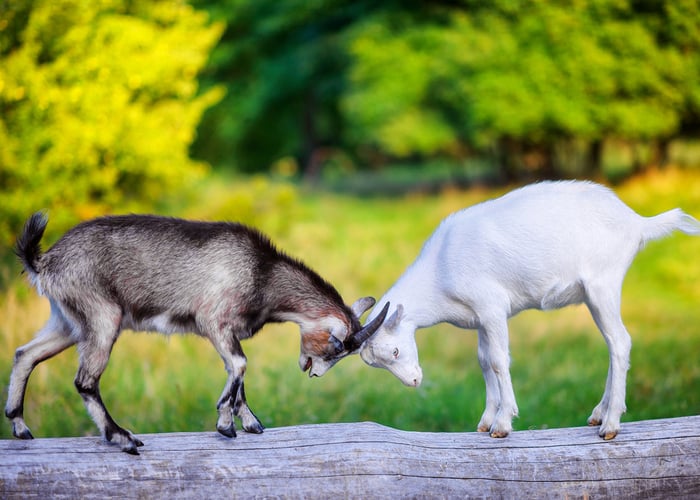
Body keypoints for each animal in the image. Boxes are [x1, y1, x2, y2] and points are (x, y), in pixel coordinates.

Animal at [6, 213, 388, 456]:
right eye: (336, 346)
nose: (314, 372)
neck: (262, 274)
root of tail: (46, 262)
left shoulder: (227, 330)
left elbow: (237, 372)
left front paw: (248, 423)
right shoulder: (213, 320)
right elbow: (241, 364)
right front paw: (225, 422)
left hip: (67, 322)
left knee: (25, 353)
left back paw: (20, 427)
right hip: (102, 315)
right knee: (85, 380)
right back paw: (123, 438)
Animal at [360, 182, 700, 440]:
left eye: (394, 351)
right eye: (377, 364)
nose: (413, 382)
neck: (438, 274)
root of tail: (637, 223)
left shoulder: (492, 307)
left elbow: (499, 361)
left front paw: (502, 424)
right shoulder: (479, 318)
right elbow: (484, 361)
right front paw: (485, 421)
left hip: (603, 283)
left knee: (620, 341)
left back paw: (611, 424)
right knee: (612, 344)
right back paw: (598, 414)